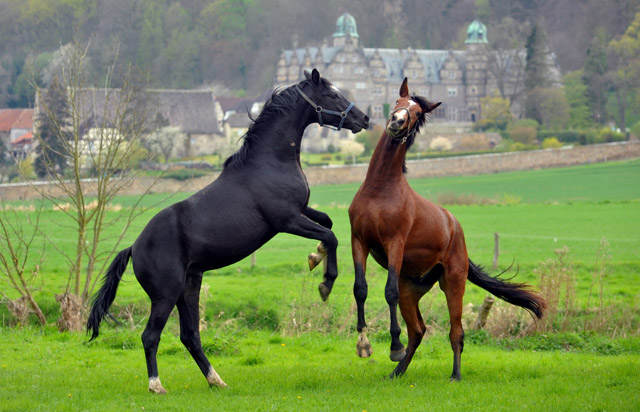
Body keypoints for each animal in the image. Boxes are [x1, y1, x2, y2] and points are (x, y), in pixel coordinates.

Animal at [90, 69, 370, 394]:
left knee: (190, 336)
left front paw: (316, 258)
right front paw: (325, 283)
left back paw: (217, 380)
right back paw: (157, 385)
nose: (364, 119)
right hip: (165, 294)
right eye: (333, 94)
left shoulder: (301, 210)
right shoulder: (286, 220)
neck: (269, 162)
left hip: (189, 287)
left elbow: (327, 223)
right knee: (151, 336)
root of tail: (134, 247)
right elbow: (331, 236)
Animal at [348, 77, 544, 380]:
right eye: (397, 101)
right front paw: (364, 346)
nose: (396, 121)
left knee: (456, 332)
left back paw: (454, 375)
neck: (380, 190)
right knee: (418, 330)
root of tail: (455, 227)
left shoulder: (395, 244)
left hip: (453, 283)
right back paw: (398, 372)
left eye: (417, 112)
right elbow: (360, 288)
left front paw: (394, 346)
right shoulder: (359, 240)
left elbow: (388, 291)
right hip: (411, 291)